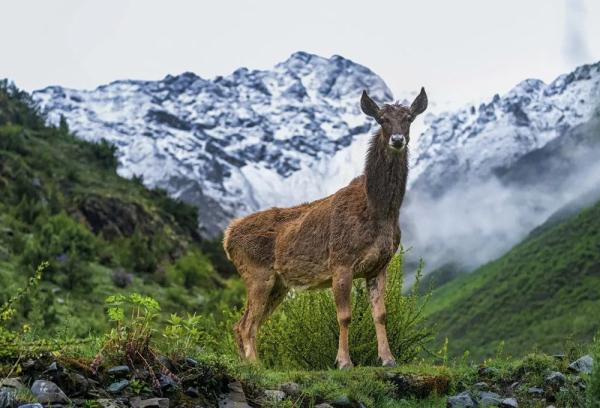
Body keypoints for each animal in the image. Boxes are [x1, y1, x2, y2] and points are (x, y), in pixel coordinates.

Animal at [224, 87, 426, 368]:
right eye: (381, 119)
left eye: (409, 118)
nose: (397, 139)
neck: (378, 213)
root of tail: (227, 237)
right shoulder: (341, 261)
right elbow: (344, 316)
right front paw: (343, 361)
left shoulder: (379, 266)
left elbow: (381, 314)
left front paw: (388, 359)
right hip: (256, 272)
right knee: (245, 324)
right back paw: (256, 365)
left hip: (278, 284)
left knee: (243, 324)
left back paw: (248, 363)